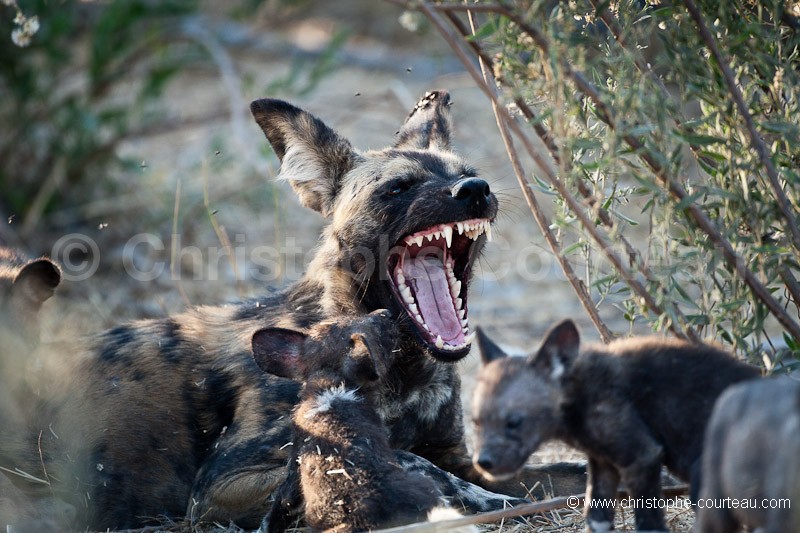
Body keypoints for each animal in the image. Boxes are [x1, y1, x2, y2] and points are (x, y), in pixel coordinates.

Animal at [472, 320, 760, 532]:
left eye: (514, 422)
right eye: (476, 422)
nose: (482, 463)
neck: (578, 394)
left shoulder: (643, 457)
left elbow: (649, 524)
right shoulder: (603, 464)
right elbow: (596, 517)